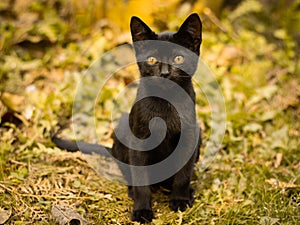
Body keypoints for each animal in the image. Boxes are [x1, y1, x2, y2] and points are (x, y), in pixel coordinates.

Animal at [54, 14, 204, 223]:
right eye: (152, 60)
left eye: (179, 58)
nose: (165, 73)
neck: (166, 103)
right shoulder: (139, 142)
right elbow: (141, 179)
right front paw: (142, 210)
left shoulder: (189, 137)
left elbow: (183, 174)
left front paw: (180, 200)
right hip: (123, 129)